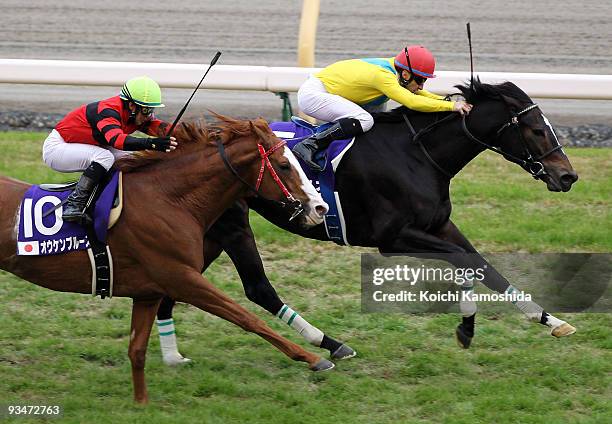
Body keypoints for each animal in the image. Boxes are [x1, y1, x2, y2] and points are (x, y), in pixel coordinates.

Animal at [0, 117, 334, 404]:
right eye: (284, 165)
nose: (320, 208)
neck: (169, 199)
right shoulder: (182, 278)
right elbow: (246, 317)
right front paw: (314, 358)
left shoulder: (149, 291)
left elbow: (137, 350)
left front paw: (141, 403)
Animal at [161, 80, 580, 362]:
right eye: (536, 129)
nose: (567, 176)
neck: (418, 155)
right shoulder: (393, 237)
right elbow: (463, 261)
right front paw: (466, 327)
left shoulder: (438, 226)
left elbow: (482, 265)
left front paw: (549, 319)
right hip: (232, 225)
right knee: (256, 288)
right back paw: (330, 345)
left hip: (212, 229)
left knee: (180, 280)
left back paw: (171, 355)